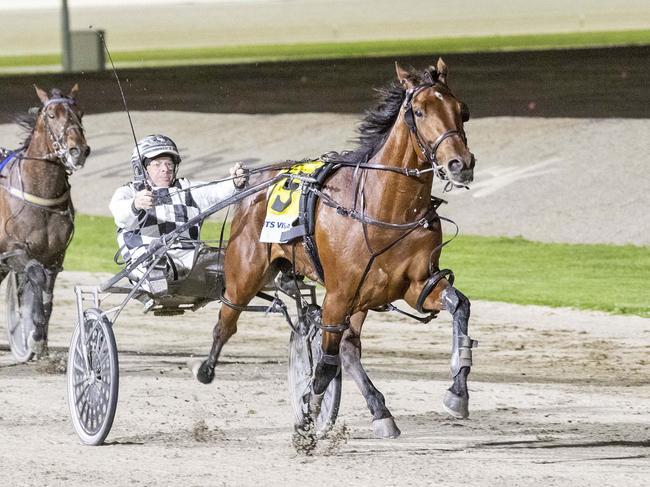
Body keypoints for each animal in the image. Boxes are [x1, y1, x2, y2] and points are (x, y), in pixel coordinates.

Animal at [0, 84, 90, 360]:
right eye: (51, 115)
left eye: (80, 113)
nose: (78, 150)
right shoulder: (14, 251)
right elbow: (35, 278)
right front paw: (34, 332)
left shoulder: (56, 256)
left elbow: (48, 293)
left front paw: (40, 341)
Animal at [195, 60, 474, 438]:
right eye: (419, 111)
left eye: (462, 109)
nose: (461, 163)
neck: (386, 209)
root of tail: (256, 181)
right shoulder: (338, 295)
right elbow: (325, 365)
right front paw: (308, 412)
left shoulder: (415, 284)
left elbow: (459, 306)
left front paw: (457, 392)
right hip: (246, 273)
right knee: (227, 320)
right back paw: (206, 368)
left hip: (362, 299)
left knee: (349, 349)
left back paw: (380, 411)